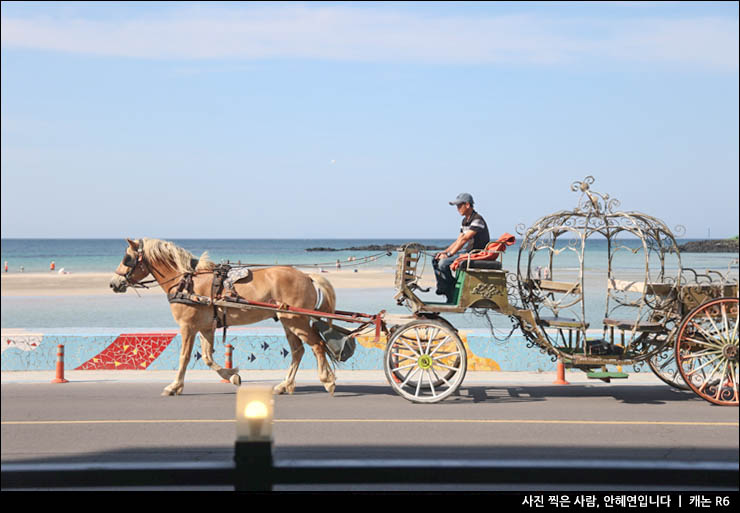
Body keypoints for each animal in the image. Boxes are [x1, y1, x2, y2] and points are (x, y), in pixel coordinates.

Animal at [109, 237, 338, 396]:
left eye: (127, 258)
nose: (113, 283)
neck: (186, 282)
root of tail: (307, 276)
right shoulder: (205, 327)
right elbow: (207, 358)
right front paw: (233, 375)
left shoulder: (187, 327)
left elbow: (184, 357)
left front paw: (174, 386)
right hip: (288, 321)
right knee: (298, 351)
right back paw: (285, 385)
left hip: (296, 320)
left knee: (317, 346)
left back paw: (327, 380)